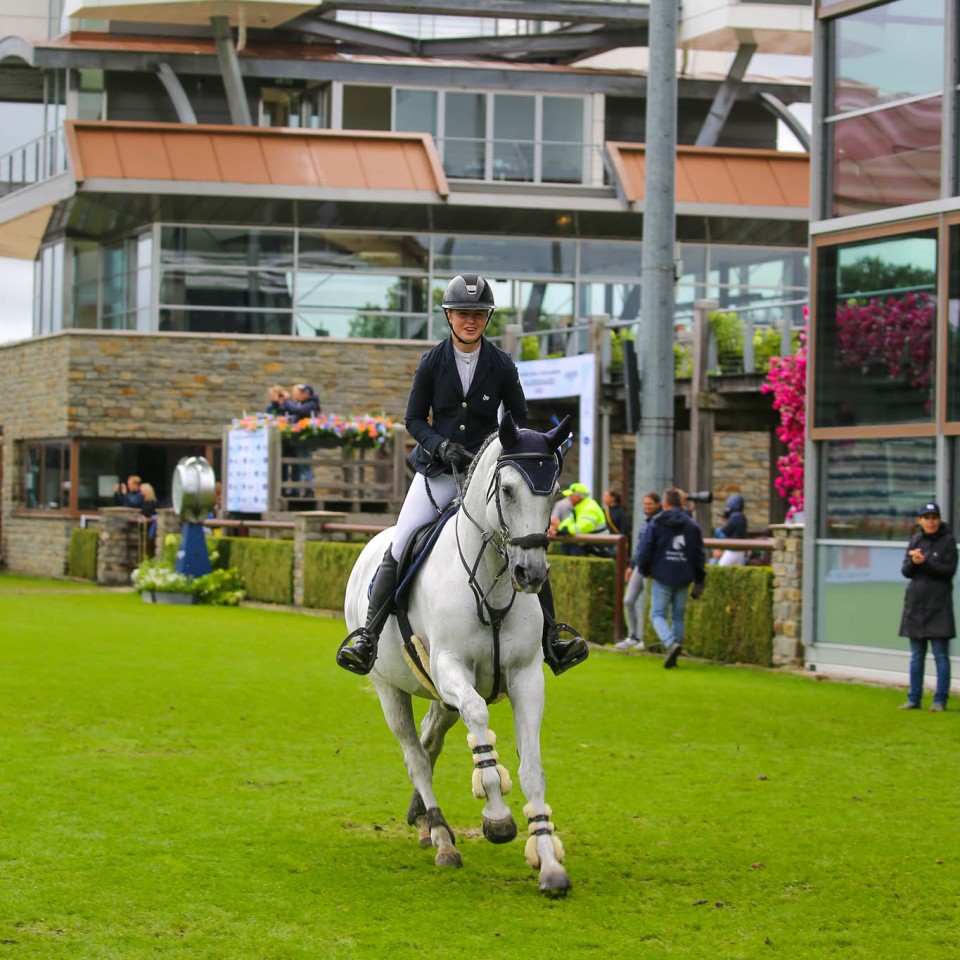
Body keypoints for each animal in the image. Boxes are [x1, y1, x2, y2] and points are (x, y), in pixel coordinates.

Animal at [342, 414, 572, 900]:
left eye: (555, 491)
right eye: (507, 489)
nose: (531, 574)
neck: (491, 579)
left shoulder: (526, 677)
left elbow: (533, 768)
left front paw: (548, 863)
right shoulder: (451, 669)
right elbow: (480, 721)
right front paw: (498, 818)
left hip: (437, 694)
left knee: (431, 741)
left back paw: (425, 823)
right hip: (390, 688)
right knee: (415, 755)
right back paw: (443, 839)